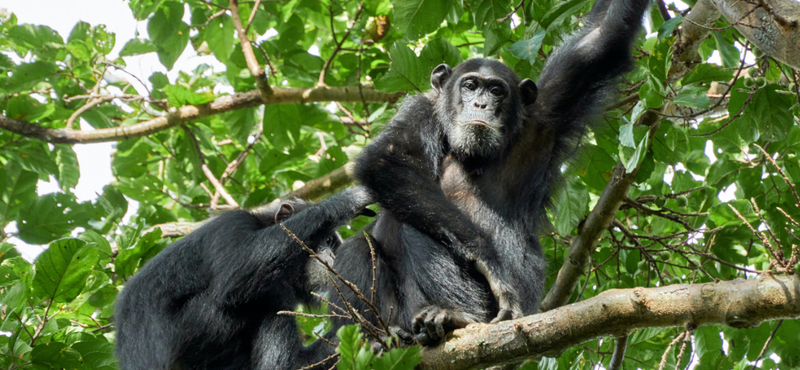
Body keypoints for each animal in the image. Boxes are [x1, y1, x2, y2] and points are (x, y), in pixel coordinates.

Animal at [114, 188, 374, 370]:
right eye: (327, 239)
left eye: (334, 244)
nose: (333, 253)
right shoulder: (230, 224)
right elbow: (235, 272)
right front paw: (349, 199)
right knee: (263, 304)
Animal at [332, 0, 648, 344]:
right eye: (470, 86)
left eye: (496, 90)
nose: (481, 104)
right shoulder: (421, 109)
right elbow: (388, 159)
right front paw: (488, 260)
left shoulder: (548, 112)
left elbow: (603, 37)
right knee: (373, 240)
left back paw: (454, 317)